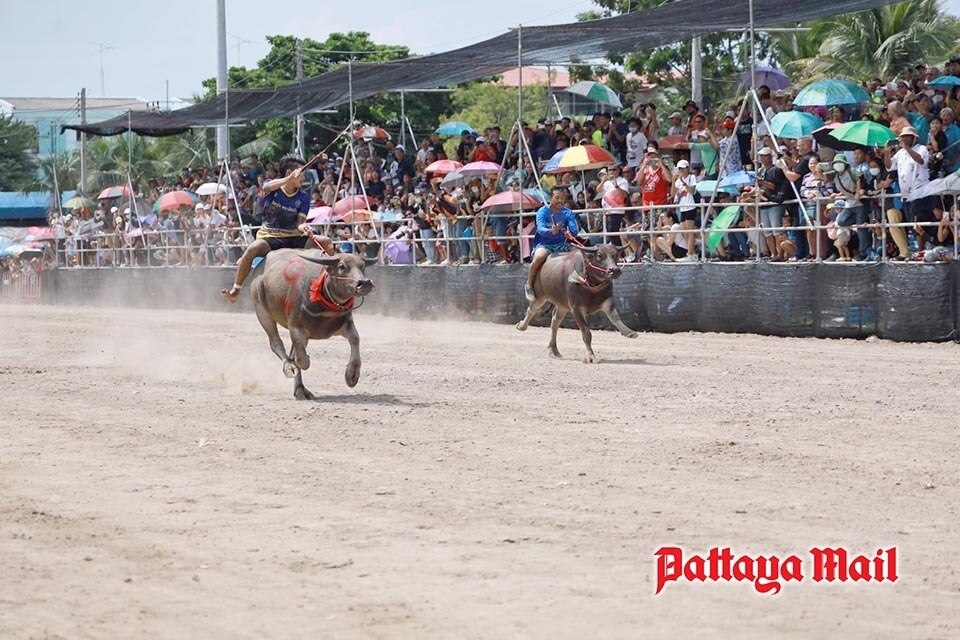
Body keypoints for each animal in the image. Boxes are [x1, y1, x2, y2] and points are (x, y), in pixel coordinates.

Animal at [251, 248, 376, 398]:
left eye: (362, 266)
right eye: (342, 266)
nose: (365, 283)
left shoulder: (343, 324)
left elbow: (355, 338)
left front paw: (352, 375)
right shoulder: (295, 327)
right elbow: (302, 361)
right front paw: (297, 364)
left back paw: (300, 389)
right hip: (261, 311)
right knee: (276, 343)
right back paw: (289, 368)